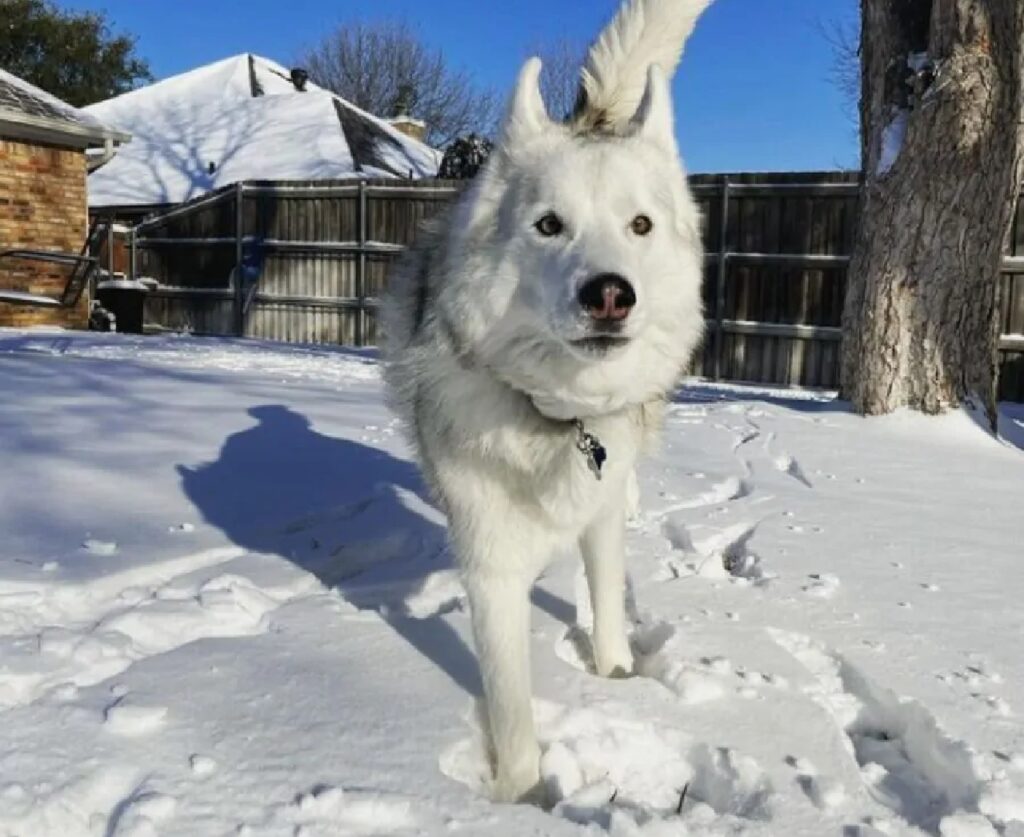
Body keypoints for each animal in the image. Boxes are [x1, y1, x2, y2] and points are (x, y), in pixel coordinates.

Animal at [382, 0, 712, 799]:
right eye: (548, 224)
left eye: (640, 225)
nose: (610, 295)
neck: (561, 418)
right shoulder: (490, 563)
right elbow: (508, 705)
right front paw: (523, 796)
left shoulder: (600, 512)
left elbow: (606, 595)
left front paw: (615, 677)